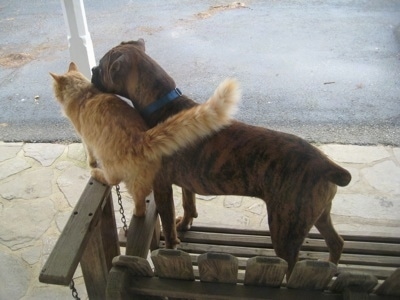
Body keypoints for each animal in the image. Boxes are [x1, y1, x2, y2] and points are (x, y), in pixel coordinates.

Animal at [48, 63, 239, 217]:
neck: (84, 93)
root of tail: (142, 138)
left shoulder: (85, 138)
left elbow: (89, 154)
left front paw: (91, 164)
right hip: (143, 179)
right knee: (142, 198)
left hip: (113, 168)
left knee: (116, 184)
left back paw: (99, 176)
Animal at [90, 39, 350, 276]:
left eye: (101, 66)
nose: (91, 70)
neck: (163, 104)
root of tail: (326, 165)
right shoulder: (186, 182)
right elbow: (188, 203)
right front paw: (186, 222)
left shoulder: (162, 186)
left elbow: (167, 221)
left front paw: (171, 246)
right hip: (319, 214)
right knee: (336, 242)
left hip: (286, 230)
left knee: (292, 264)